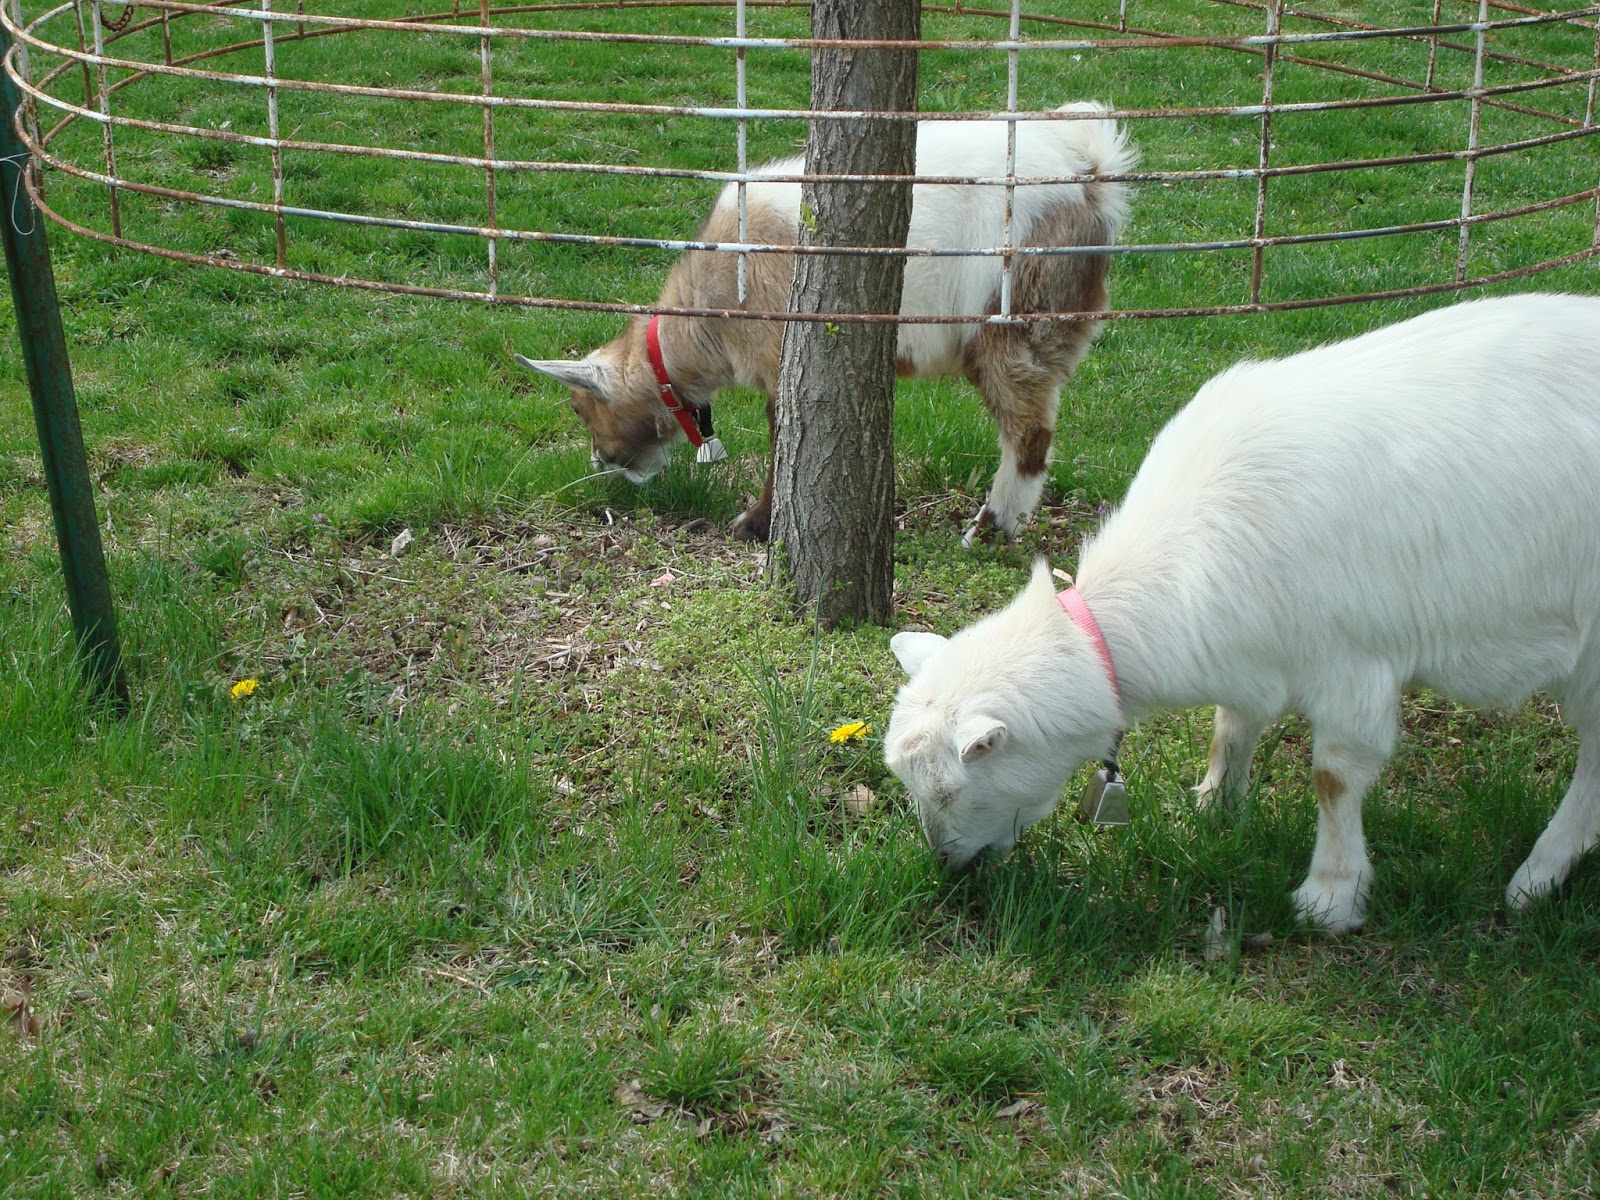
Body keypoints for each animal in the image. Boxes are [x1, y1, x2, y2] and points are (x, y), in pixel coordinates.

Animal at [516, 103, 1135, 543]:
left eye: (578, 407)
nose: (603, 464)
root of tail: (1091, 172)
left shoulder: (780, 352)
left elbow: (782, 435)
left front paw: (756, 525)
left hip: (1014, 320)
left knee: (1029, 431)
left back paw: (989, 529)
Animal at [885, 293, 1600, 932]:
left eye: (949, 789)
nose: (948, 865)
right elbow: (1231, 724)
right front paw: (1214, 806)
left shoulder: (1354, 660)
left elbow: (1334, 777)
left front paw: (1330, 898)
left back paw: (1536, 878)